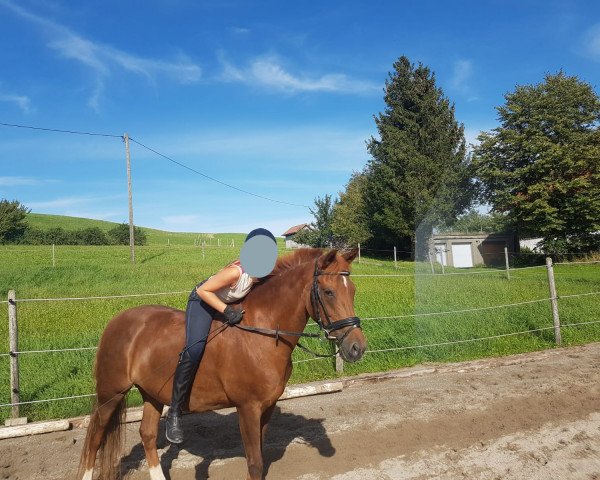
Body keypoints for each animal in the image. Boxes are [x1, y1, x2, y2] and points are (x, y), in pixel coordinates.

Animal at [75, 249, 366, 478]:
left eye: (352, 291)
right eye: (328, 292)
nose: (357, 348)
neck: (262, 332)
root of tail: (117, 320)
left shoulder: (267, 406)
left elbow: (261, 458)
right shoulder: (248, 407)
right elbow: (255, 463)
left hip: (151, 392)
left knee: (146, 434)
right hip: (111, 393)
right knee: (94, 438)